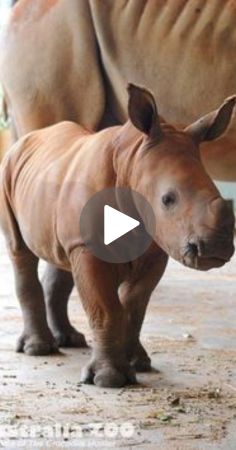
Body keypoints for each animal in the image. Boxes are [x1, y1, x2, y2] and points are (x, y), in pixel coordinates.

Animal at [0, 85, 234, 386]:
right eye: (167, 200)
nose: (215, 248)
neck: (132, 161)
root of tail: (27, 140)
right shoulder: (88, 247)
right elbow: (106, 308)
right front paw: (109, 380)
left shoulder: (156, 247)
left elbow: (134, 305)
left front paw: (138, 364)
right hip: (7, 172)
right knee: (19, 250)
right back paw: (38, 349)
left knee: (60, 257)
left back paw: (70, 340)